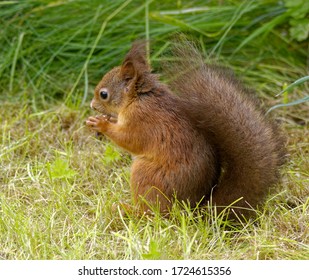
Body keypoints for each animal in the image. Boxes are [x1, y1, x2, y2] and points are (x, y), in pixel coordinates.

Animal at [85, 40, 286, 218]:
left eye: (104, 94)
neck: (139, 98)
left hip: (147, 177)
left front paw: (102, 124)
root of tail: (193, 209)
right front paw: (103, 119)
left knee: (154, 214)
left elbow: (129, 140)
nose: (92, 105)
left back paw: (127, 210)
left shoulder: (141, 120)